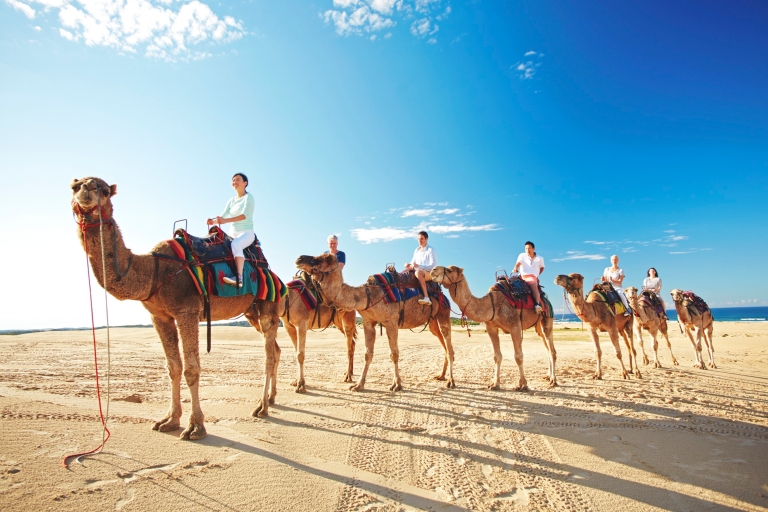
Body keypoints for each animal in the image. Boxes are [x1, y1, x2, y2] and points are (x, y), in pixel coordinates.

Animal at [71, 177, 282, 440]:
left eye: (105, 190)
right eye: (74, 186)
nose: (86, 190)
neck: (154, 270)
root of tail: (274, 273)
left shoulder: (186, 311)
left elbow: (191, 369)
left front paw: (195, 427)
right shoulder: (159, 316)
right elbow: (173, 367)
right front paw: (169, 420)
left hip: (268, 308)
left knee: (269, 355)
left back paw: (261, 407)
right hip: (252, 312)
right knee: (276, 350)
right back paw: (271, 400)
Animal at [292, 254, 450, 390]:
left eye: (324, 259)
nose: (300, 258)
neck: (369, 296)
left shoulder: (391, 322)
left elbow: (394, 354)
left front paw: (396, 385)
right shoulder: (368, 322)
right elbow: (368, 354)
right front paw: (358, 385)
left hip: (443, 312)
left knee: (447, 341)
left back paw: (449, 380)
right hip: (432, 321)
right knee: (443, 343)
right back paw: (442, 376)